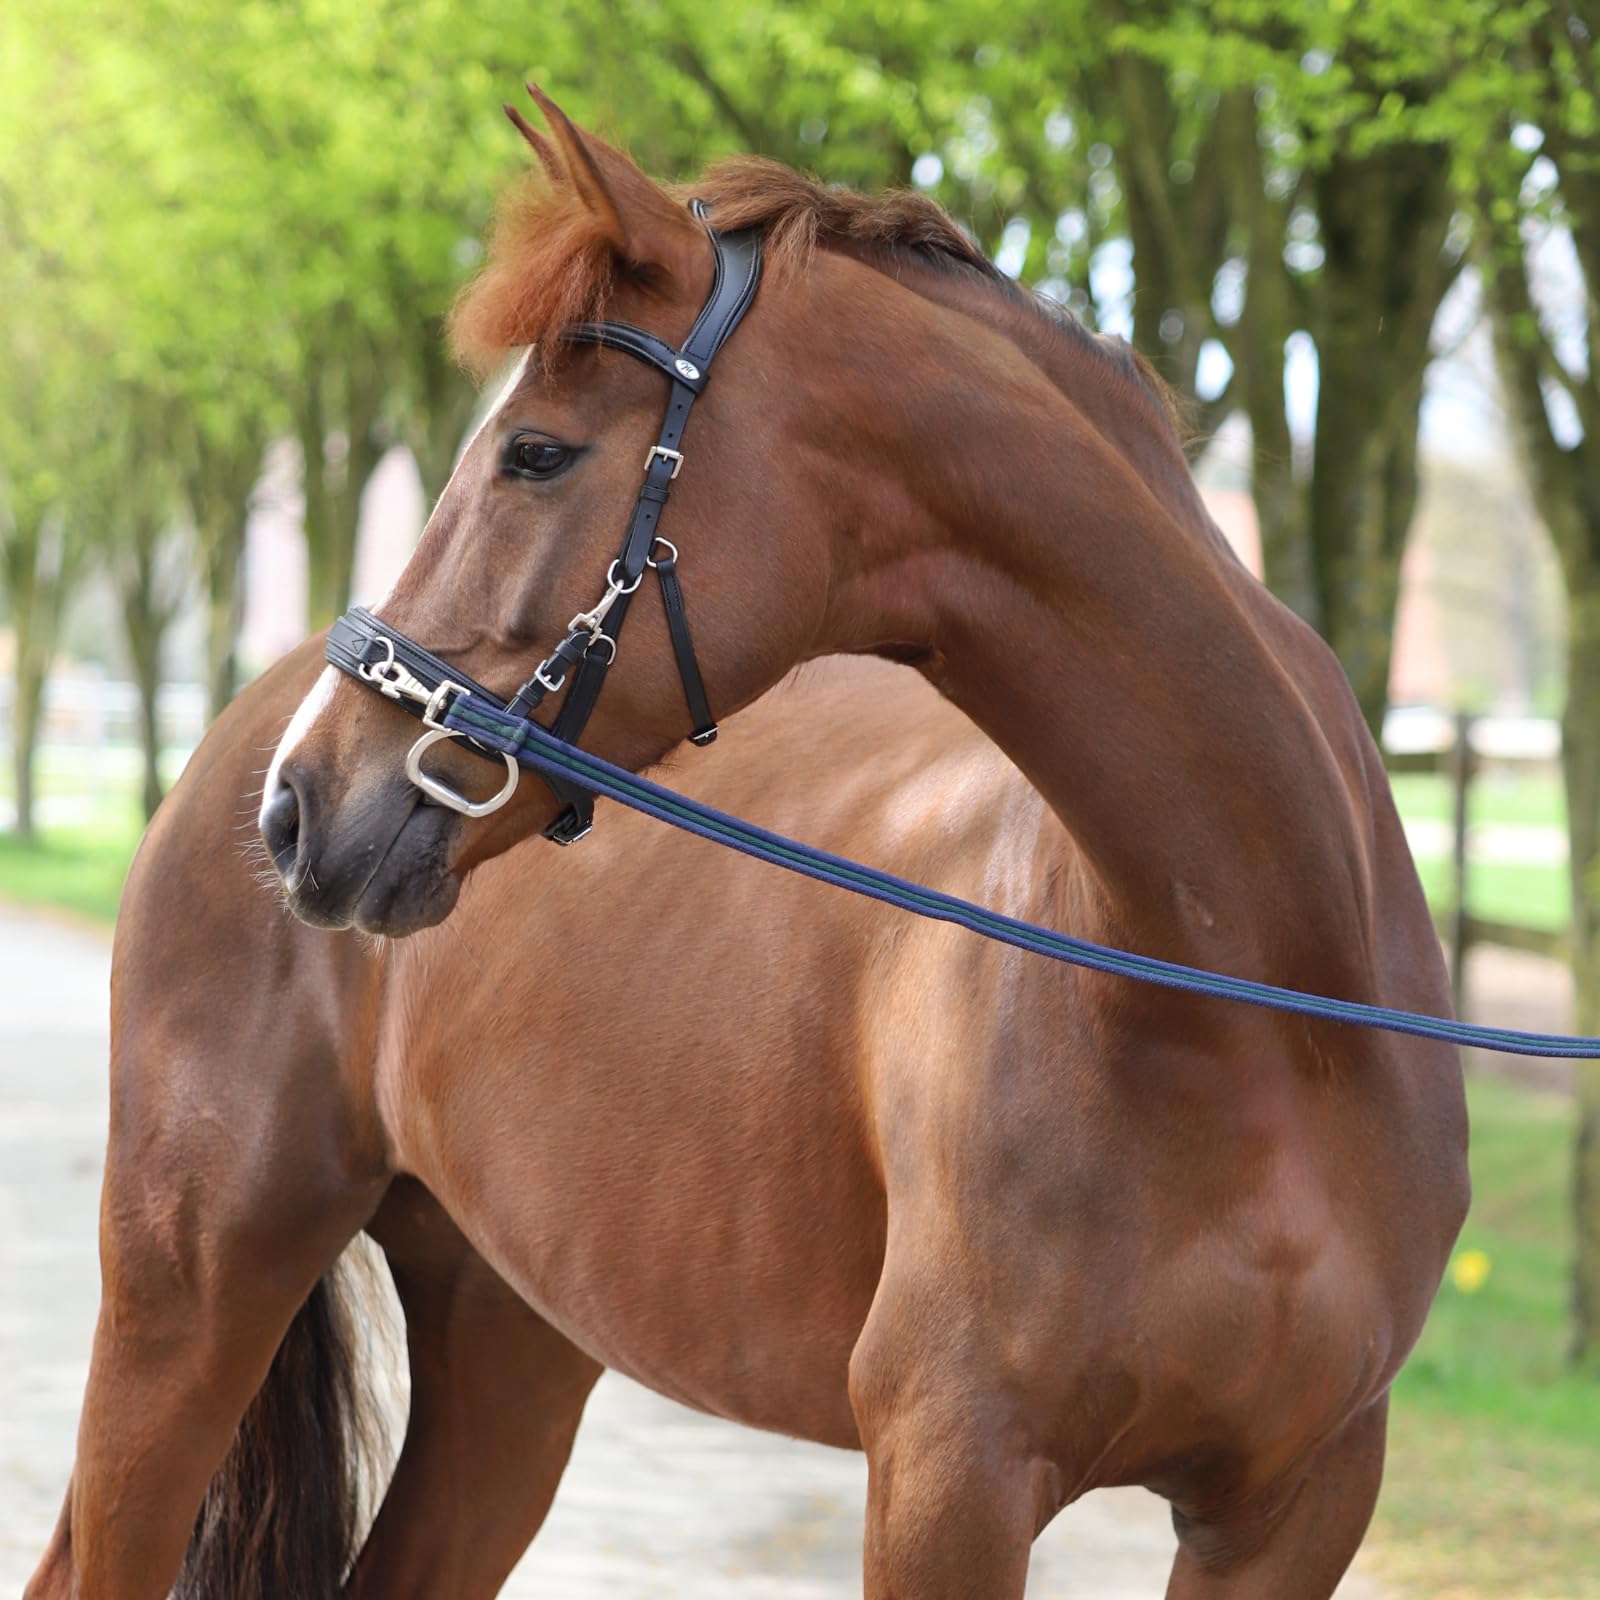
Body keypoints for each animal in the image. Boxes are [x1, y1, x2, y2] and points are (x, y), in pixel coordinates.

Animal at [28, 91, 1468, 1599]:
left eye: (536, 450)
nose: (302, 804)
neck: (1251, 1001)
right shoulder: (951, 1472)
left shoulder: (1295, 1505)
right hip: (196, 1282)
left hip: (509, 1338)